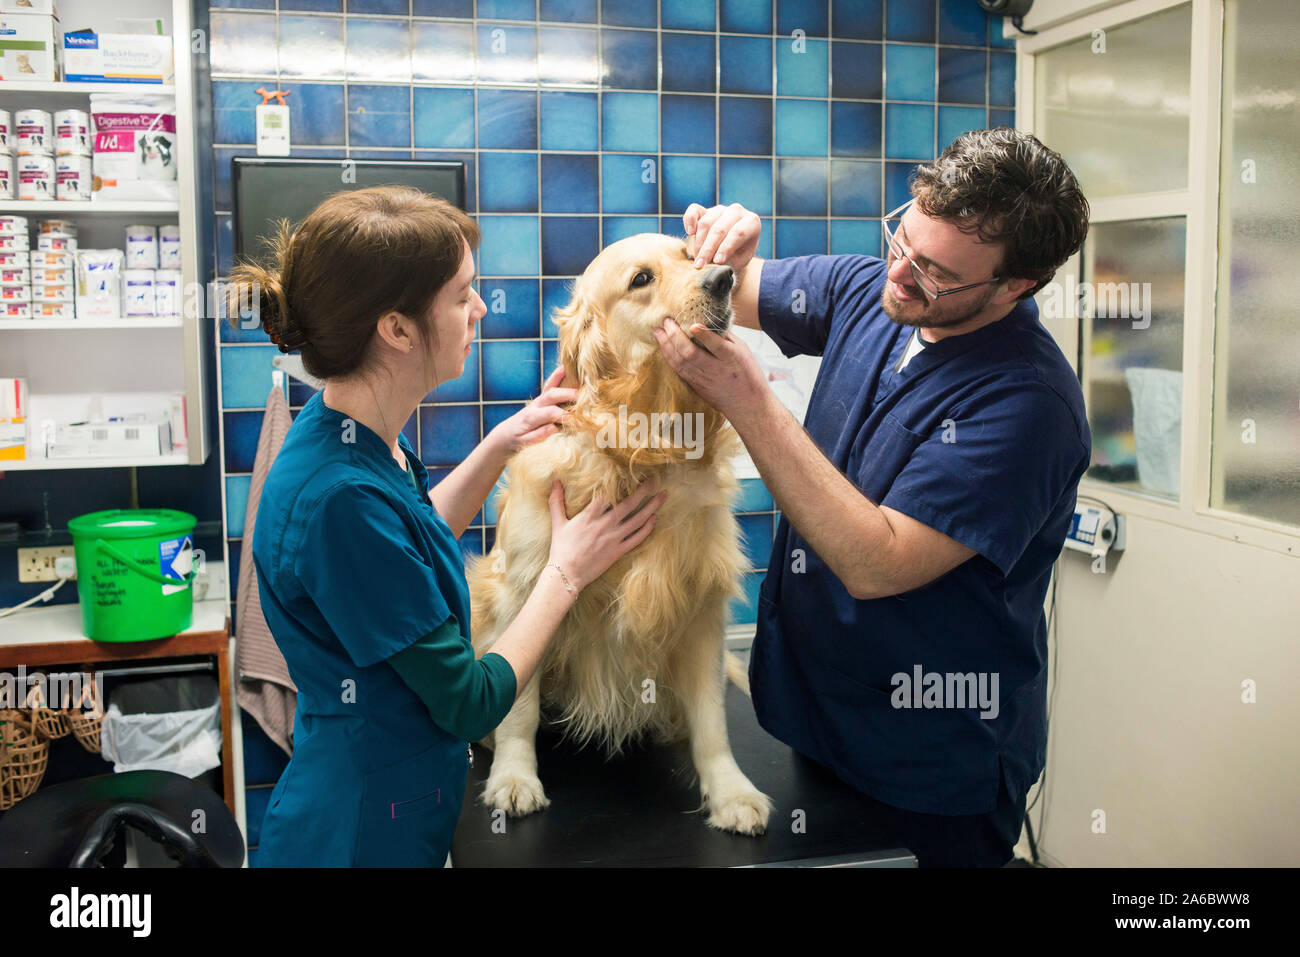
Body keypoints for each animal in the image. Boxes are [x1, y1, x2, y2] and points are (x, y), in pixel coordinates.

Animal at [467, 234, 769, 837]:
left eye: (690, 255)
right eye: (641, 279)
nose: (724, 277)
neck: (643, 445)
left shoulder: (699, 606)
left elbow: (712, 721)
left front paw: (730, 793)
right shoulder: (522, 590)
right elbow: (519, 706)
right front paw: (514, 778)